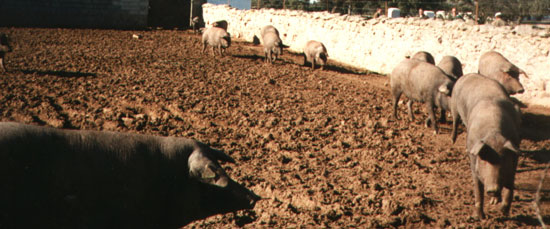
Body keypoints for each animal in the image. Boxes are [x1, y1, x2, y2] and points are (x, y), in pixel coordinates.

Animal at [452, 74, 520, 219]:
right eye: (484, 159)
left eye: (503, 160)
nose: (492, 189)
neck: (493, 134)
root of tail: (469, 75)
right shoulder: (474, 161)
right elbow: (478, 189)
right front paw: (478, 217)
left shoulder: (514, 153)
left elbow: (510, 185)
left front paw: (503, 212)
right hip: (454, 104)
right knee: (455, 120)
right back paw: (452, 140)